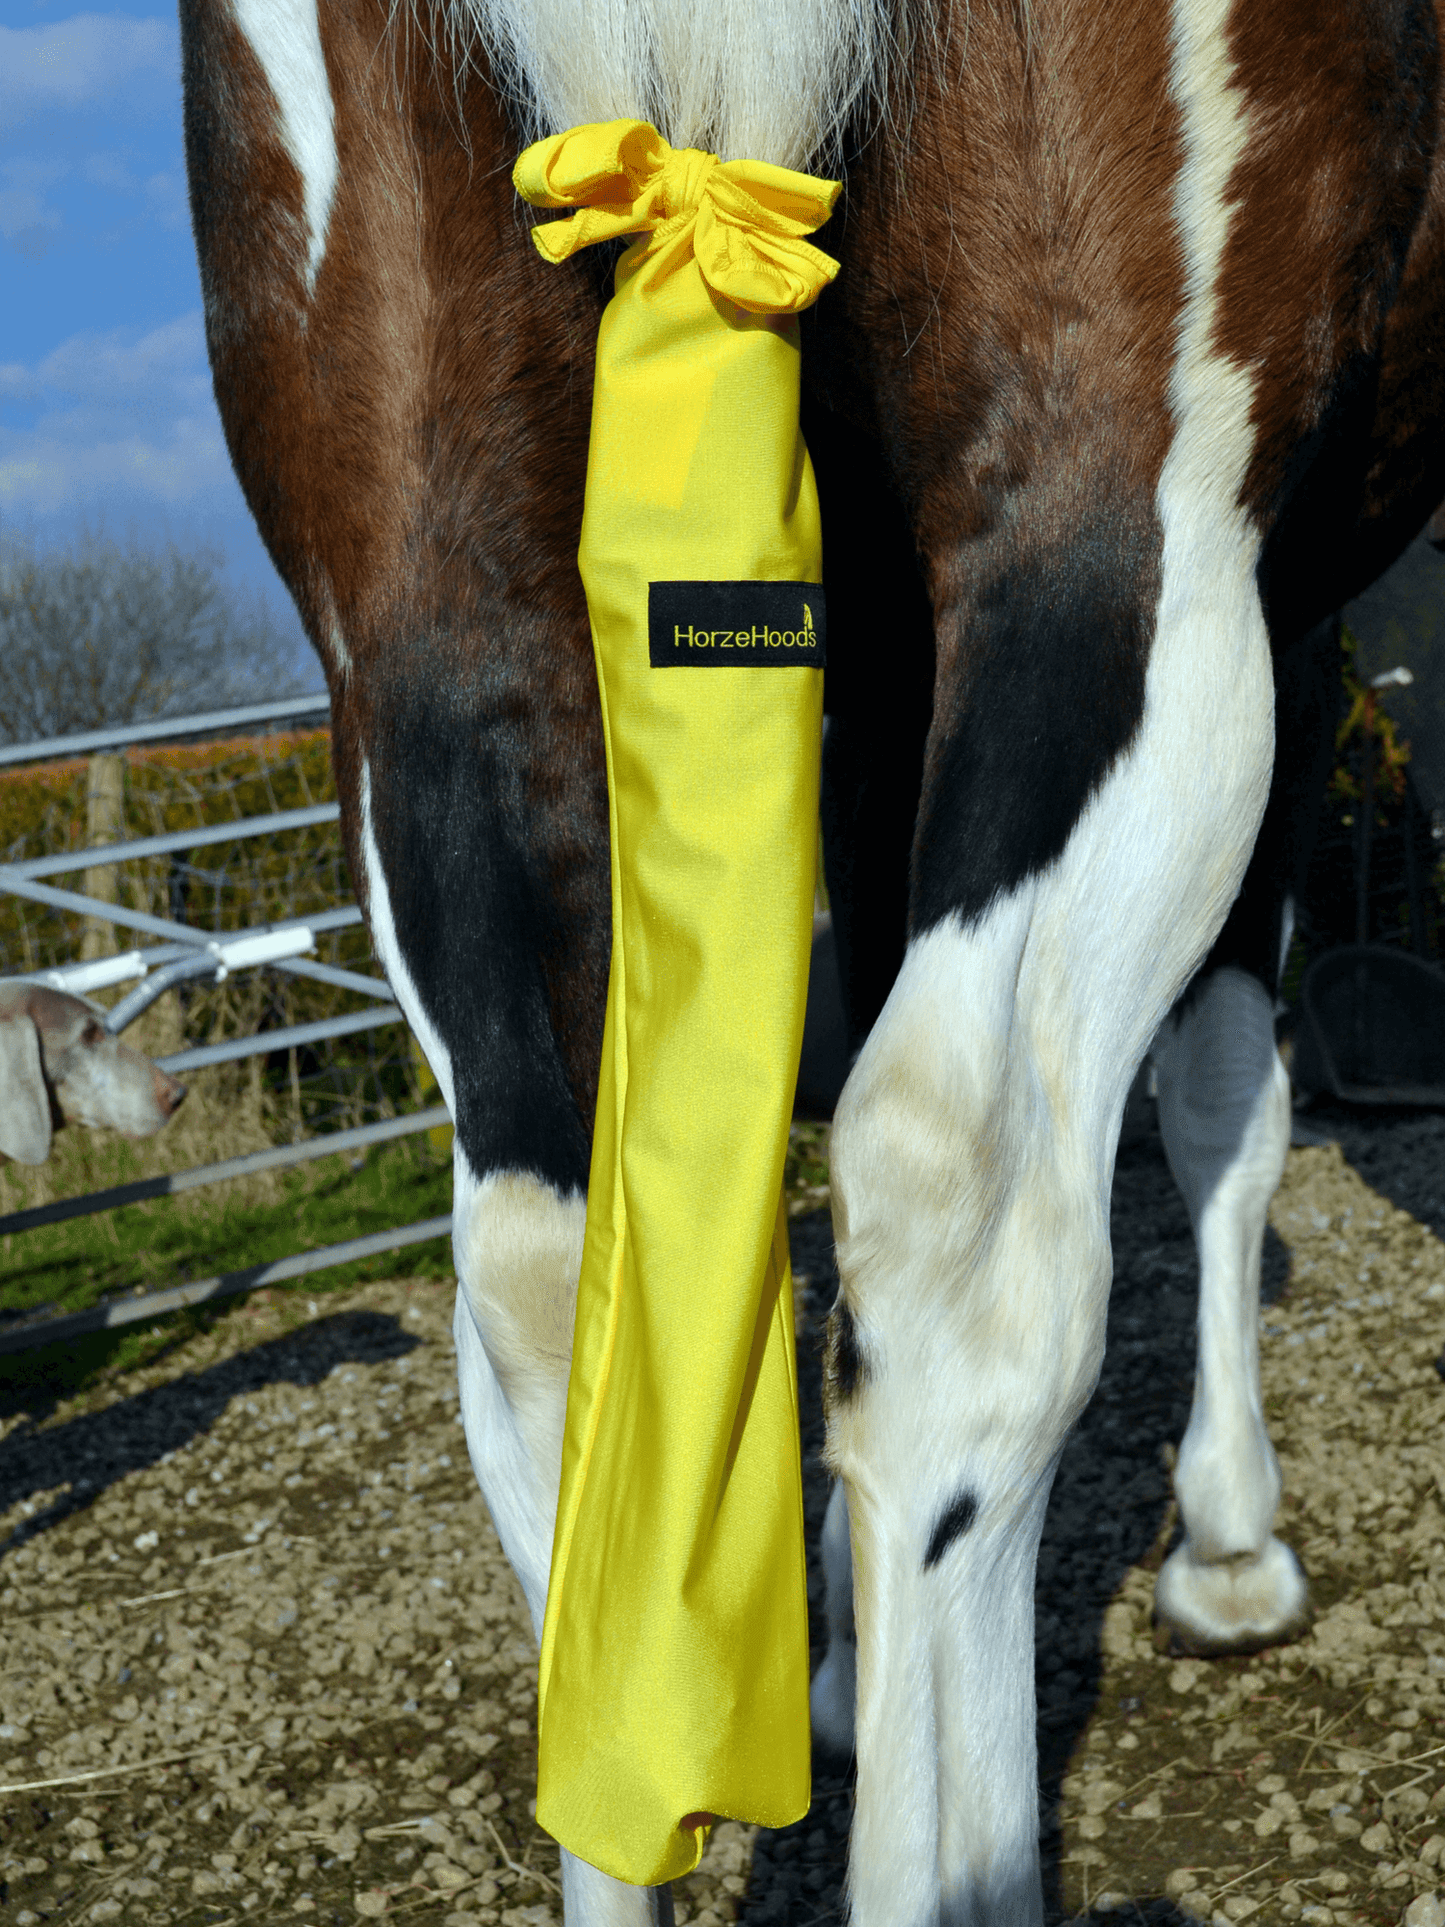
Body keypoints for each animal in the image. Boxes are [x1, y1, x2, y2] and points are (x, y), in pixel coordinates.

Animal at [177, 0, 1445, 1918]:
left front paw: (832, 1655)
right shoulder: (1282, 621)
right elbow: (1226, 1090)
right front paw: (1229, 1538)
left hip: (412, 549)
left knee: (543, 1275)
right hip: (1122, 505)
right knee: (965, 1218)